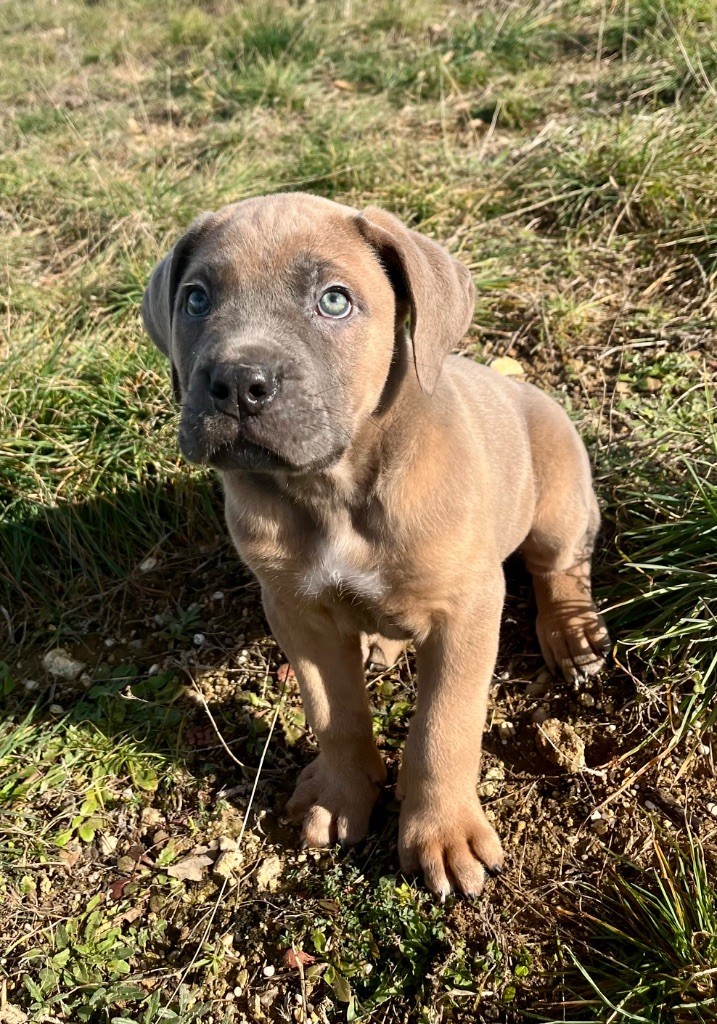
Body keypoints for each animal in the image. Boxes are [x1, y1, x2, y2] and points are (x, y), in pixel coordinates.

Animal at [142, 193, 606, 897]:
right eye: (195, 299)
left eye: (335, 301)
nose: (237, 381)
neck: (333, 489)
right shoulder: (296, 611)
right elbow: (333, 710)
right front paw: (341, 793)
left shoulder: (468, 611)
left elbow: (444, 725)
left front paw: (442, 833)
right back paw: (380, 642)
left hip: (557, 499)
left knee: (560, 568)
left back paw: (572, 634)